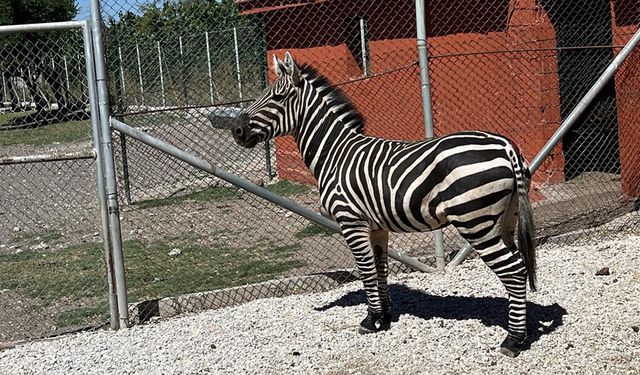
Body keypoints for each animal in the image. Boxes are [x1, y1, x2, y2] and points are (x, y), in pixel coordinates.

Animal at [232, 53, 536, 358]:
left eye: (278, 97)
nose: (236, 131)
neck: (335, 154)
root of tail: (506, 146)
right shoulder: (377, 225)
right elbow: (380, 267)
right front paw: (385, 316)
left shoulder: (350, 220)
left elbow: (365, 268)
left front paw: (369, 319)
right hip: (505, 220)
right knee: (520, 266)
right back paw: (520, 328)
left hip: (475, 221)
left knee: (513, 270)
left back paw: (512, 340)